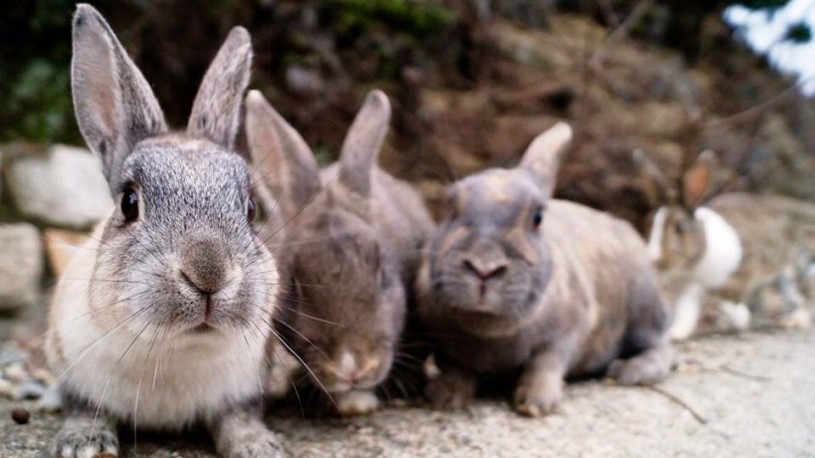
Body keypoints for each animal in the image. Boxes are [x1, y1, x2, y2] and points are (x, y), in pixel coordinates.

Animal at [46, 4, 286, 458]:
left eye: (250, 208)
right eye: (129, 202)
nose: (209, 275)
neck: (175, 349)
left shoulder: (242, 390)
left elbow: (238, 419)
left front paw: (258, 446)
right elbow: (86, 410)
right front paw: (84, 444)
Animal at [418, 121, 672, 416]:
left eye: (537, 218)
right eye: (450, 208)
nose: (484, 267)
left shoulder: (566, 334)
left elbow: (544, 364)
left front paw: (535, 404)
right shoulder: (446, 346)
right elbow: (455, 369)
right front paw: (443, 397)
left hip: (643, 311)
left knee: (662, 347)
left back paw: (630, 371)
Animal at [644, 148, 815, 338]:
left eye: (680, 227)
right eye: (650, 223)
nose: (652, 260)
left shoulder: (739, 275)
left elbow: (728, 301)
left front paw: (740, 320)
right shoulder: (689, 289)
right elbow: (686, 313)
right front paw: (674, 334)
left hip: (790, 275)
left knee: (802, 298)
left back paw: (791, 321)